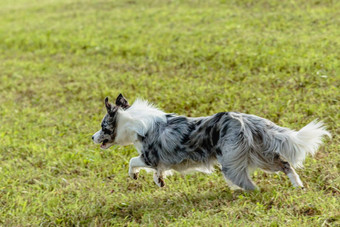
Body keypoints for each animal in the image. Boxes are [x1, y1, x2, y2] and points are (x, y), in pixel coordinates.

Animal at [91, 93, 330, 190]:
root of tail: (244, 118)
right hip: (259, 156)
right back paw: (298, 186)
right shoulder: (157, 161)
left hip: (232, 163)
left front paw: (134, 175)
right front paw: (160, 182)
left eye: (103, 127)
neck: (133, 122)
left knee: (251, 184)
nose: (91, 137)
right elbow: (158, 172)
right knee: (285, 163)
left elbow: (132, 161)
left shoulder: (149, 156)